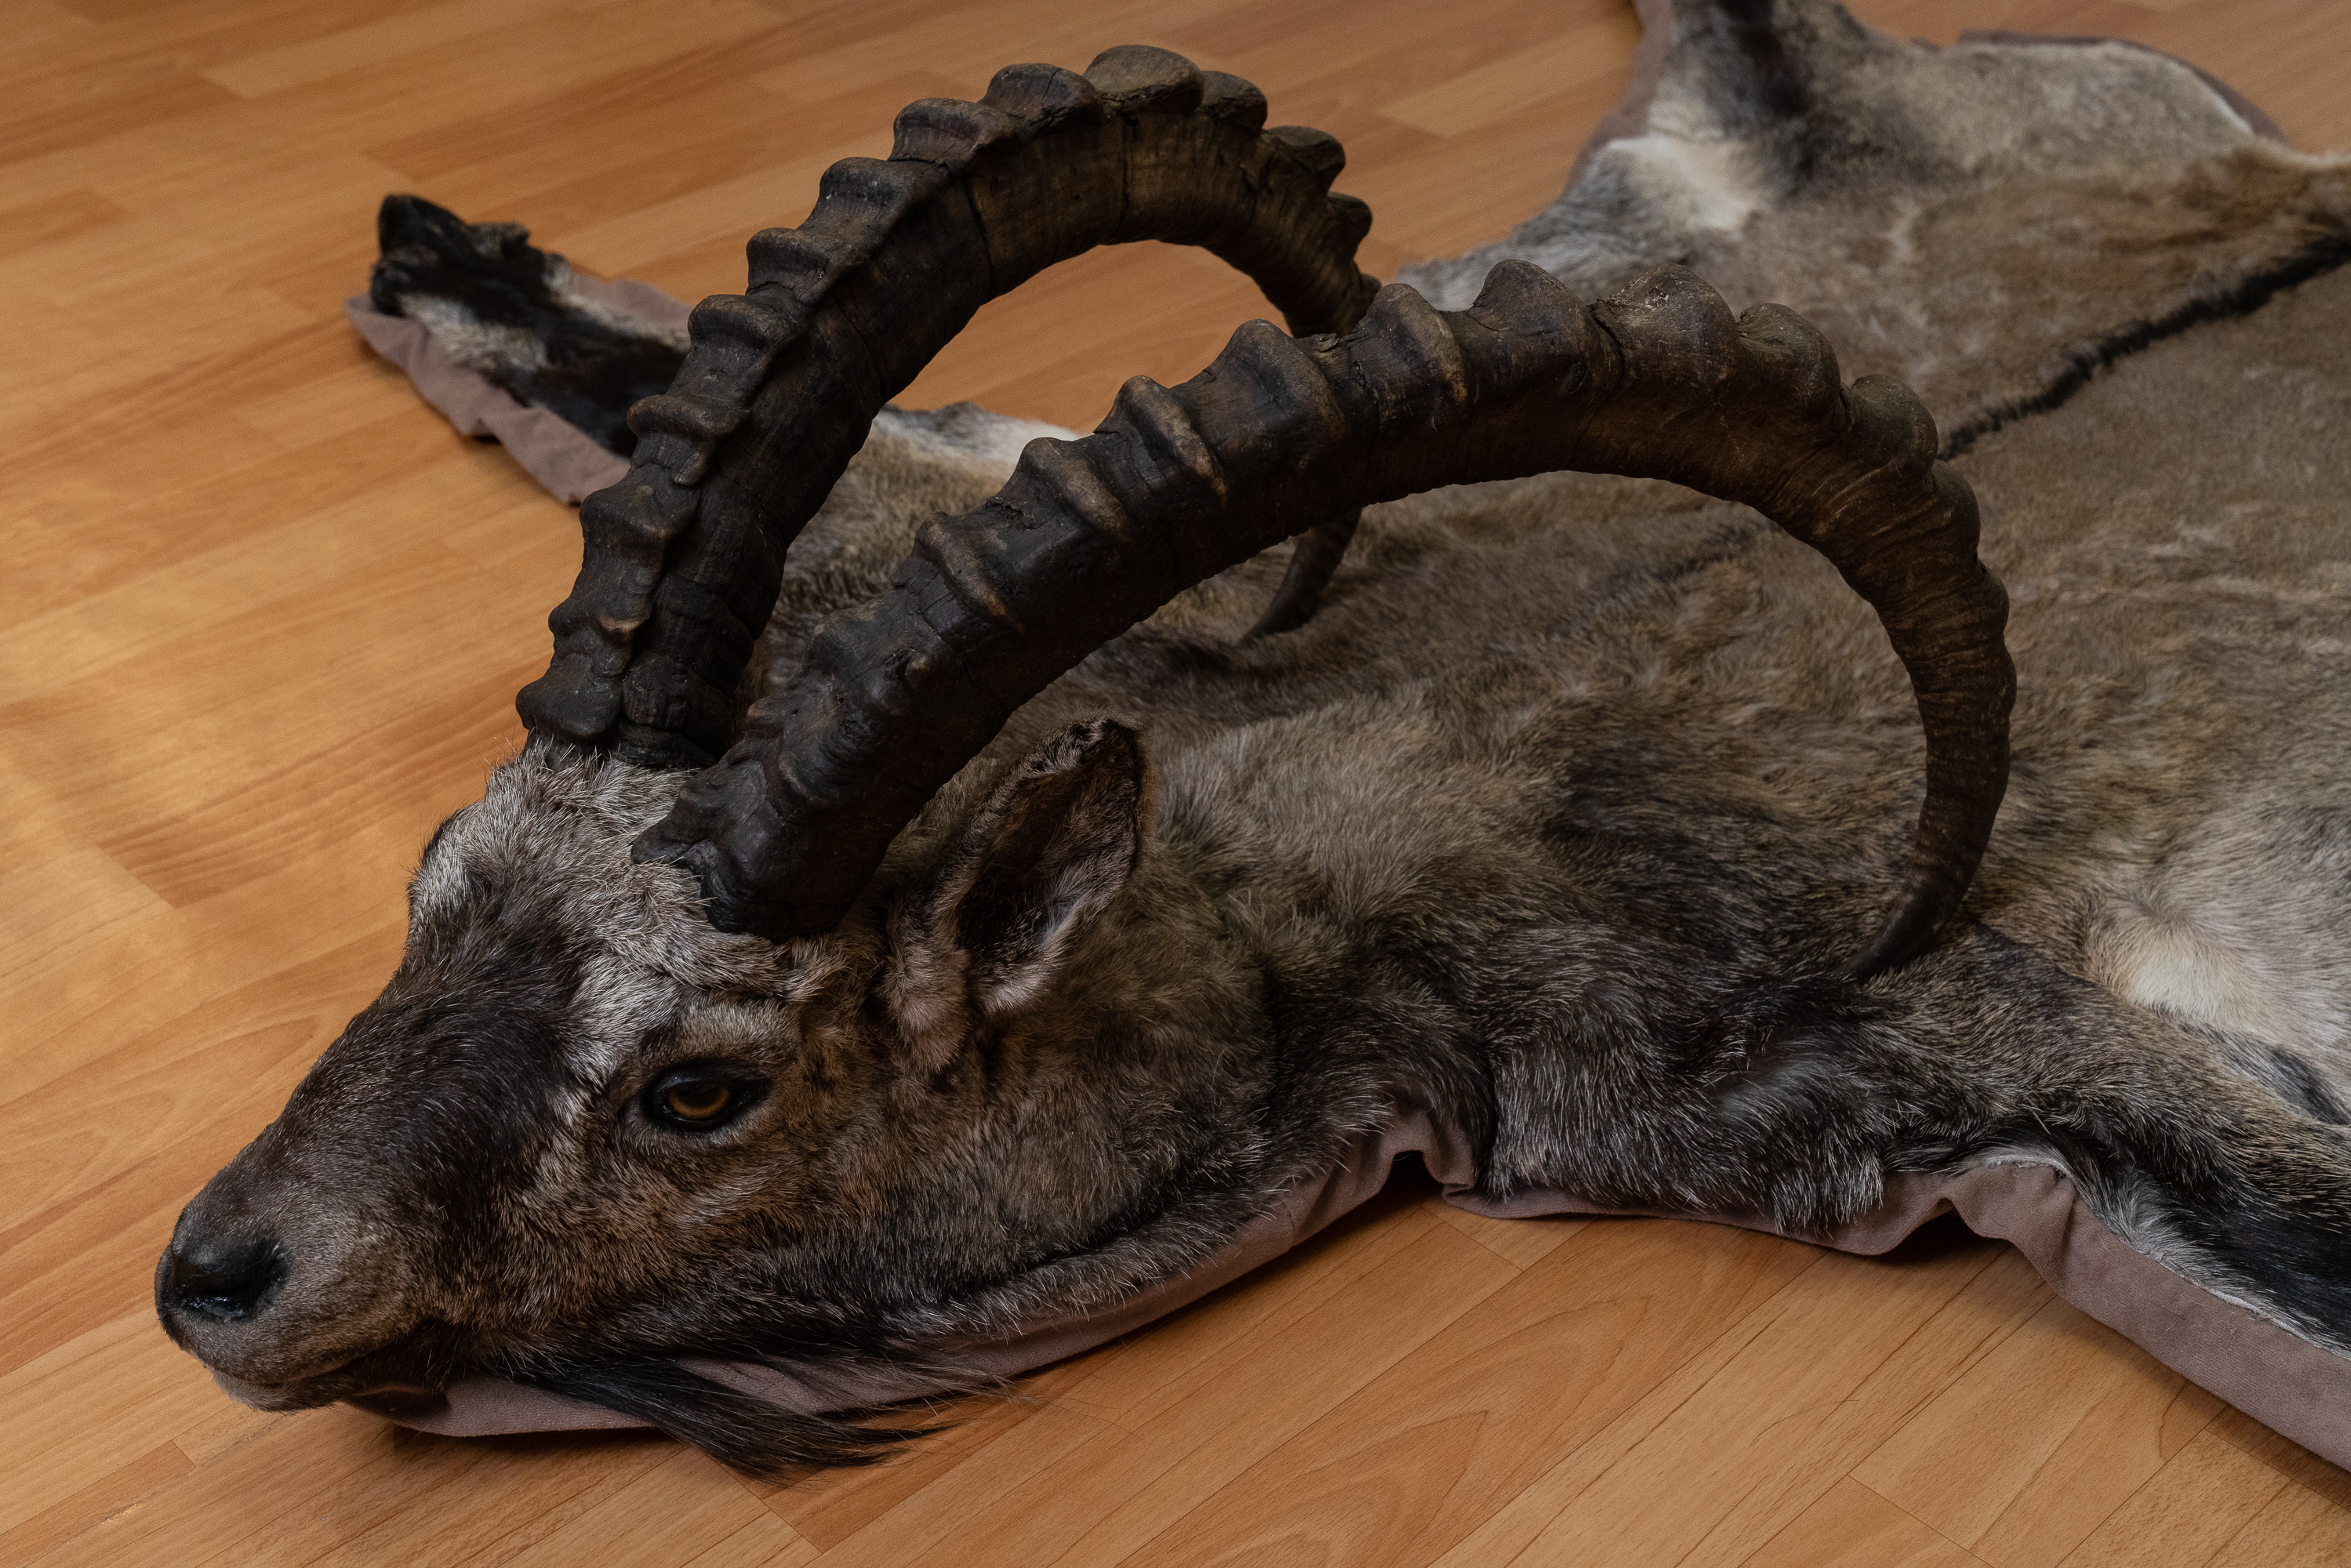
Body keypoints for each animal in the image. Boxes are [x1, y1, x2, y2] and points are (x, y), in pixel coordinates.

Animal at [156, 41, 2351, 1478]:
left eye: (702, 1089)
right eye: (437, 863)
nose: (215, 1280)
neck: (1260, 867)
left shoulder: (1895, 1044)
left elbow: (2272, 1204)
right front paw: (442, 245)